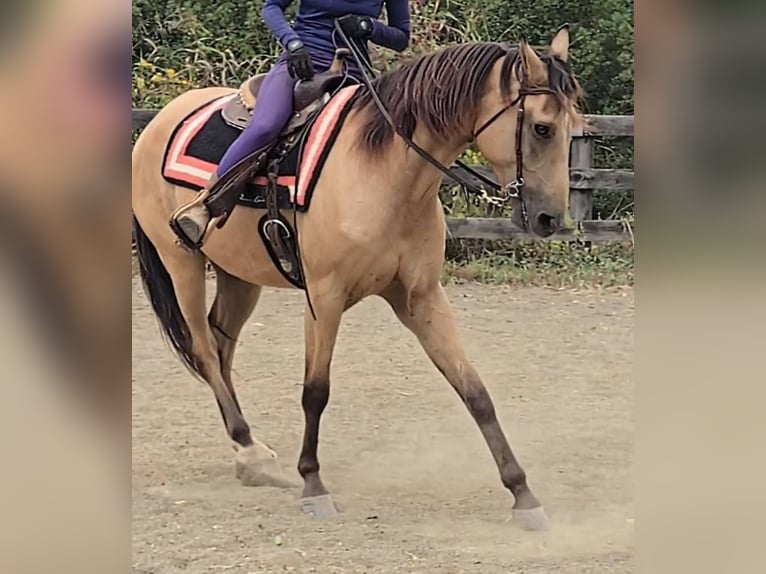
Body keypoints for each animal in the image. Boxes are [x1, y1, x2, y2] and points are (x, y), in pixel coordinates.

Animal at [132, 25, 583, 531]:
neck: (388, 172)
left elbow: (474, 391)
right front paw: (313, 484)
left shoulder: (422, 298)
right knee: (206, 350)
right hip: (182, 263)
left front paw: (523, 494)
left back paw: (249, 454)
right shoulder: (323, 298)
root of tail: (158, 122)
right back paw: (251, 451)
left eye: (574, 127)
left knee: (221, 346)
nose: (549, 219)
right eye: (542, 127)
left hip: (238, 276)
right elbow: (316, 392)